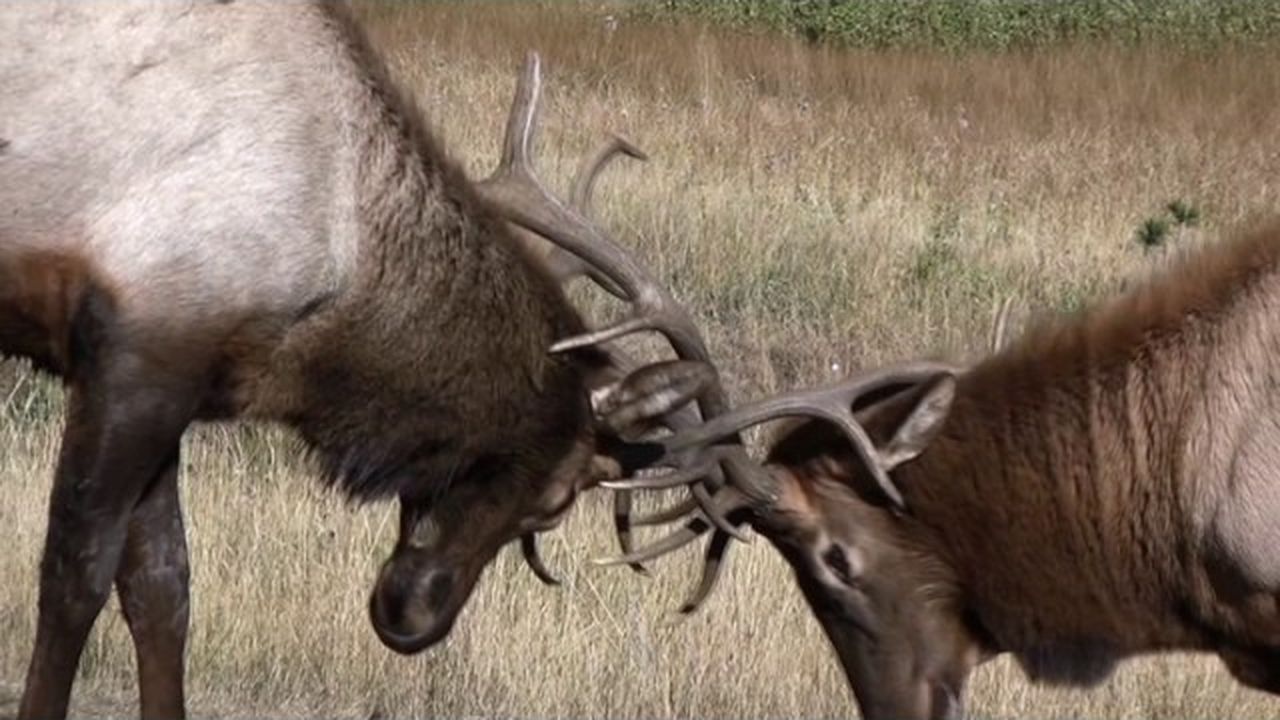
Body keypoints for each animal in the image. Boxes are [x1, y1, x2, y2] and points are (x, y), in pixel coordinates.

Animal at [0, 3, 780, 718]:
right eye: (556, 504)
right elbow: (75, 579)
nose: (413, 623)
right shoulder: (137, 355)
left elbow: (162, 587)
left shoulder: (172, 375)